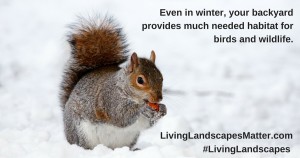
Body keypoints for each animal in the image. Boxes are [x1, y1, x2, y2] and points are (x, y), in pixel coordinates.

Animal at [58, 16, 166, 151]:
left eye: (161, 77)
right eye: (140, 80)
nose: (159, 98)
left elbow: (146, 124)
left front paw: (163, 109)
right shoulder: (109, 99)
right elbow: (120, 116)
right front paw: (143, 108)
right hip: (81, 132)